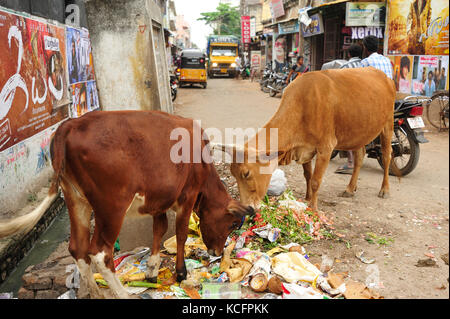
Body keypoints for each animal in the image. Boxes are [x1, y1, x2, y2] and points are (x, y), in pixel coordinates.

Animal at [0, 110, 253, 300]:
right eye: (232, 224)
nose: (217, 252)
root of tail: (70, 124)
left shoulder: (159, 201)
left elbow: (159, 229)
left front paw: (152, 268)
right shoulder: (187, 196)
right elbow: (180, 233)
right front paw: (181, 272)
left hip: (75, 199)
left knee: (78, 248)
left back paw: (95, 293)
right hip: (111, 206)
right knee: (100, 252)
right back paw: (122, 292)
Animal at [214, 67, 398, 212]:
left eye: (246, 174)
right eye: (232, 173)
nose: (247, 208)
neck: (303, 105)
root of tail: (385, 76)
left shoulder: (326, 148)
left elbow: (316, 180)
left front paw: (314, 207)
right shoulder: (304, 148)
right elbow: (308, 175)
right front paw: (307, 199)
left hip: (388, 124)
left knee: (387, 156)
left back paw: (385, 190)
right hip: (359, 132)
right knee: (359, 157)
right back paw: (350, 188)